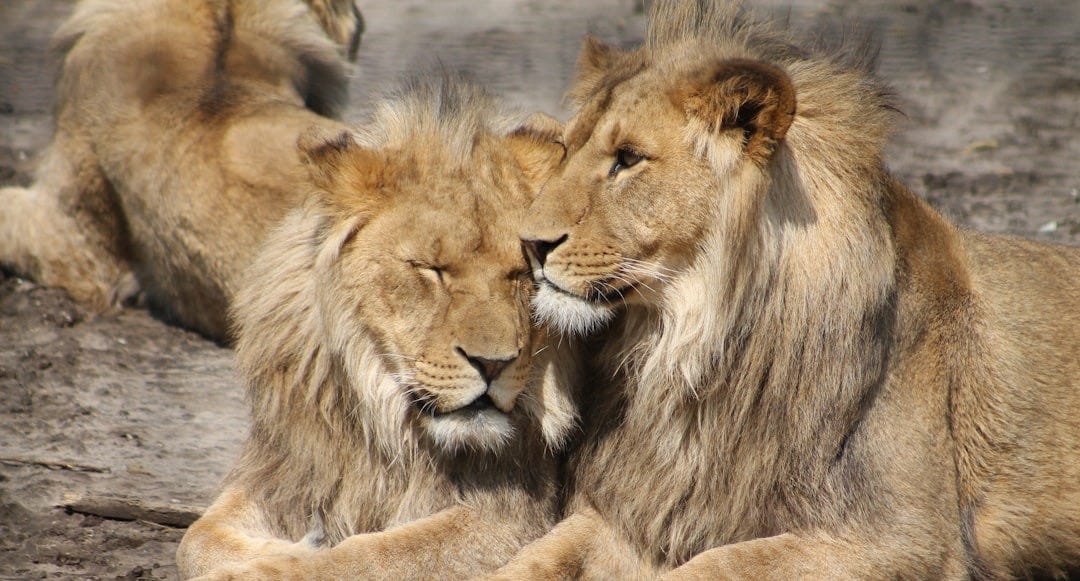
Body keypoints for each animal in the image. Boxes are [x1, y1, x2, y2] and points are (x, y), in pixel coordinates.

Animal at [173, 76, 578, 578]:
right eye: (431, 269)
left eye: (522, 272)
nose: (494, 364)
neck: (383, 425)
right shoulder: (290, 470)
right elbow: (195, 538)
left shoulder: (513, 516)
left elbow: (367, 555)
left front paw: (287, 559)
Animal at [492, 1, 1080, 578]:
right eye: (565, 150)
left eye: (629, 158)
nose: (529, 243)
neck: (694, 354)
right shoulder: (645, 507)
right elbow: (544, 551)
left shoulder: (910, 537)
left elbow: (719, 565)